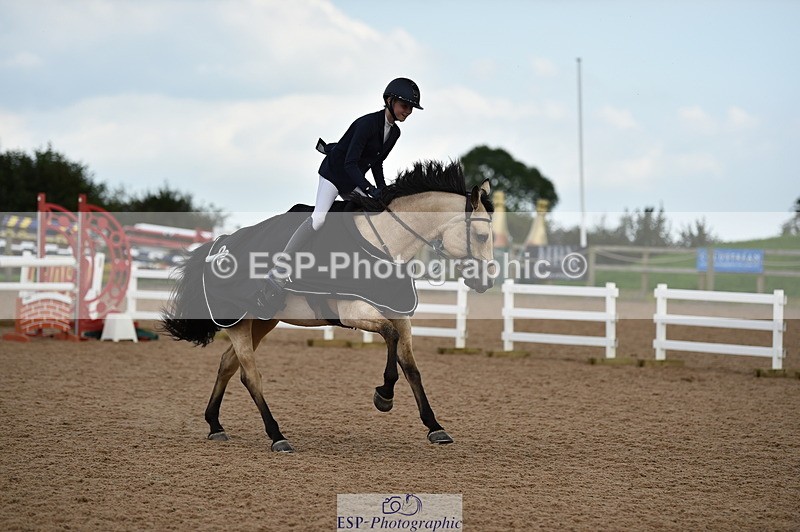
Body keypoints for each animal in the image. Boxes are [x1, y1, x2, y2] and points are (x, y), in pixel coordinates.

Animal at [162, 160, 495, 453]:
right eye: (481, 236)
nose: (487, 281)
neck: (386, 243)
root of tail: (218, 246)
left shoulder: (400, 316)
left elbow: (411, 367)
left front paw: (435, 427)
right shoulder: (356, 313)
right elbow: (389, 338)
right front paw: (384, 396)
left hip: (262, 321)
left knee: (228, 364)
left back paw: (215, 425)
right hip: (240, 323)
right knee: (249, 375)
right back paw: (277, 436)